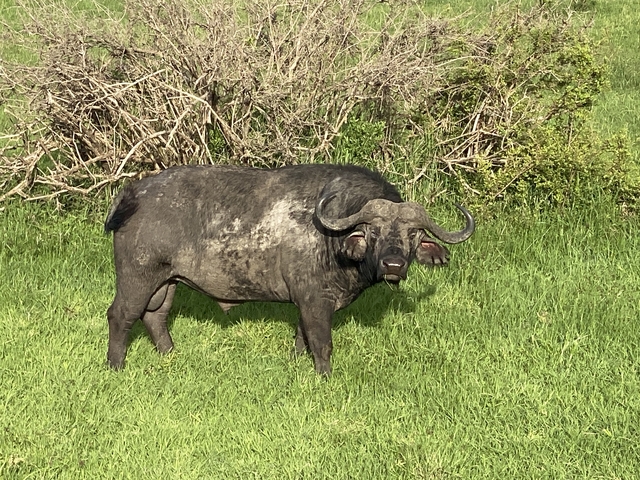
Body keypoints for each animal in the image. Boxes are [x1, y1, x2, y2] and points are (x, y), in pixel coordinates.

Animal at [104, 164, 474, 375]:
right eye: (373, 231)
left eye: (414, 234)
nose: (393, 264)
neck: (333, 240)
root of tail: (134, 192)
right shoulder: (316, 302)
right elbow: (322, 343)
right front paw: (325, 375)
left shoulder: (305, 303)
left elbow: (302, 337)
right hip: (138, 277)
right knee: (121, 316)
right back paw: (116, 365)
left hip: (167, 282)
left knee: (155, 317)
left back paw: (171, 355)